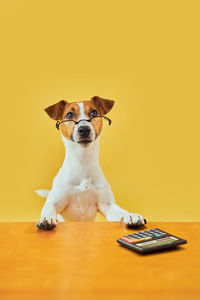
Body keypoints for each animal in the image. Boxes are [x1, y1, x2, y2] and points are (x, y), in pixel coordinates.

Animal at [36, 96, 146, 230]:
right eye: (69, 114)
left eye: (94, 112)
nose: (84, 129)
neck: (83, 161)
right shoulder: (55, 202)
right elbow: (48, 208)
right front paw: (46, 218)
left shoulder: (107, 205)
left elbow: (120, 211)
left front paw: (130, 215)